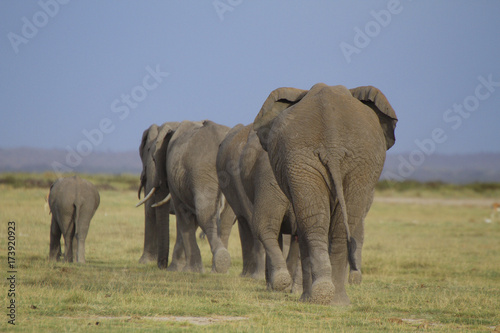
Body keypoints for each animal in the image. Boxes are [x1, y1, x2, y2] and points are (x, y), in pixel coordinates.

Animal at [254, 83, 398, 304]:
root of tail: (332, 143)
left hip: (337, 161)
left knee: (320, 223)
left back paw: (326, 297)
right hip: (313, 160)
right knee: (327, 222)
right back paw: (327, 297)